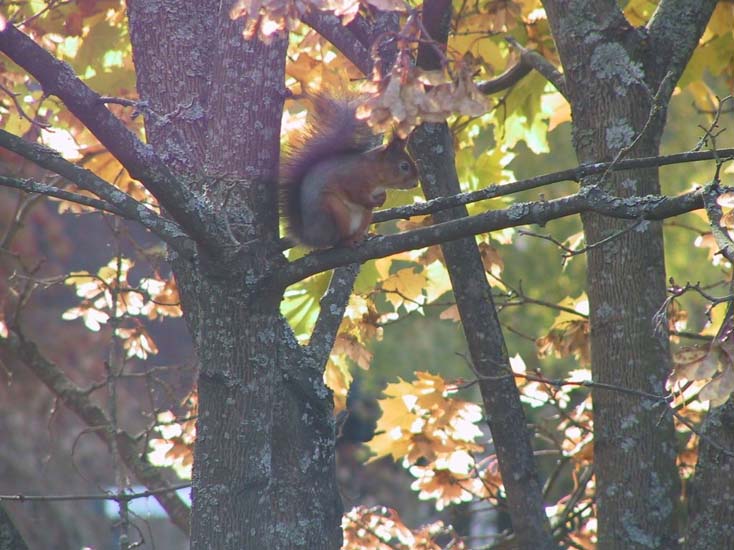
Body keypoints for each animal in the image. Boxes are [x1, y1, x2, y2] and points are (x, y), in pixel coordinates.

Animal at [279, 93, 419, 248]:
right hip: (335, 210)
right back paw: (348, 240)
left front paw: (383, 198)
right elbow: (355, 195)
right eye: (404, 166)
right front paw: (372, 202)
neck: (374, 170)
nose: (415, 183)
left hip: (364, 217)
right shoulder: (351, 179)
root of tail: (312, 238)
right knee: (338, 240)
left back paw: (364, 236)